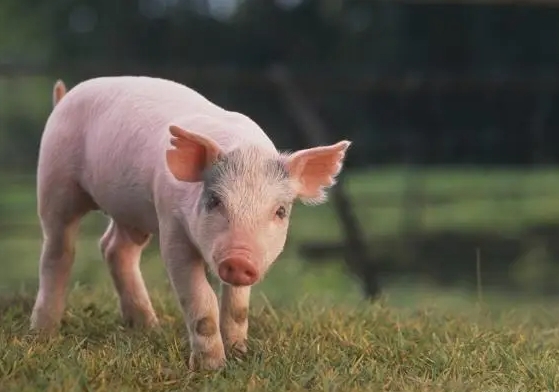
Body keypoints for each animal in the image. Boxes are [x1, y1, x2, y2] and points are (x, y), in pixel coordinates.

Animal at [29, 76, 350, 370]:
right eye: (214, 201)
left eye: (280, 211)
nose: (239, 260)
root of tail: (65, 96)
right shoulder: (170, 223)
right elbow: (200, 297)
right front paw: (212, 369)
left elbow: (238, 306)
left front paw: (239, 355)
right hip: (55, 178)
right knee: (58, 249)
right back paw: (43, 333)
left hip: (132, 212)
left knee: (114, 248)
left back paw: (149, 327)